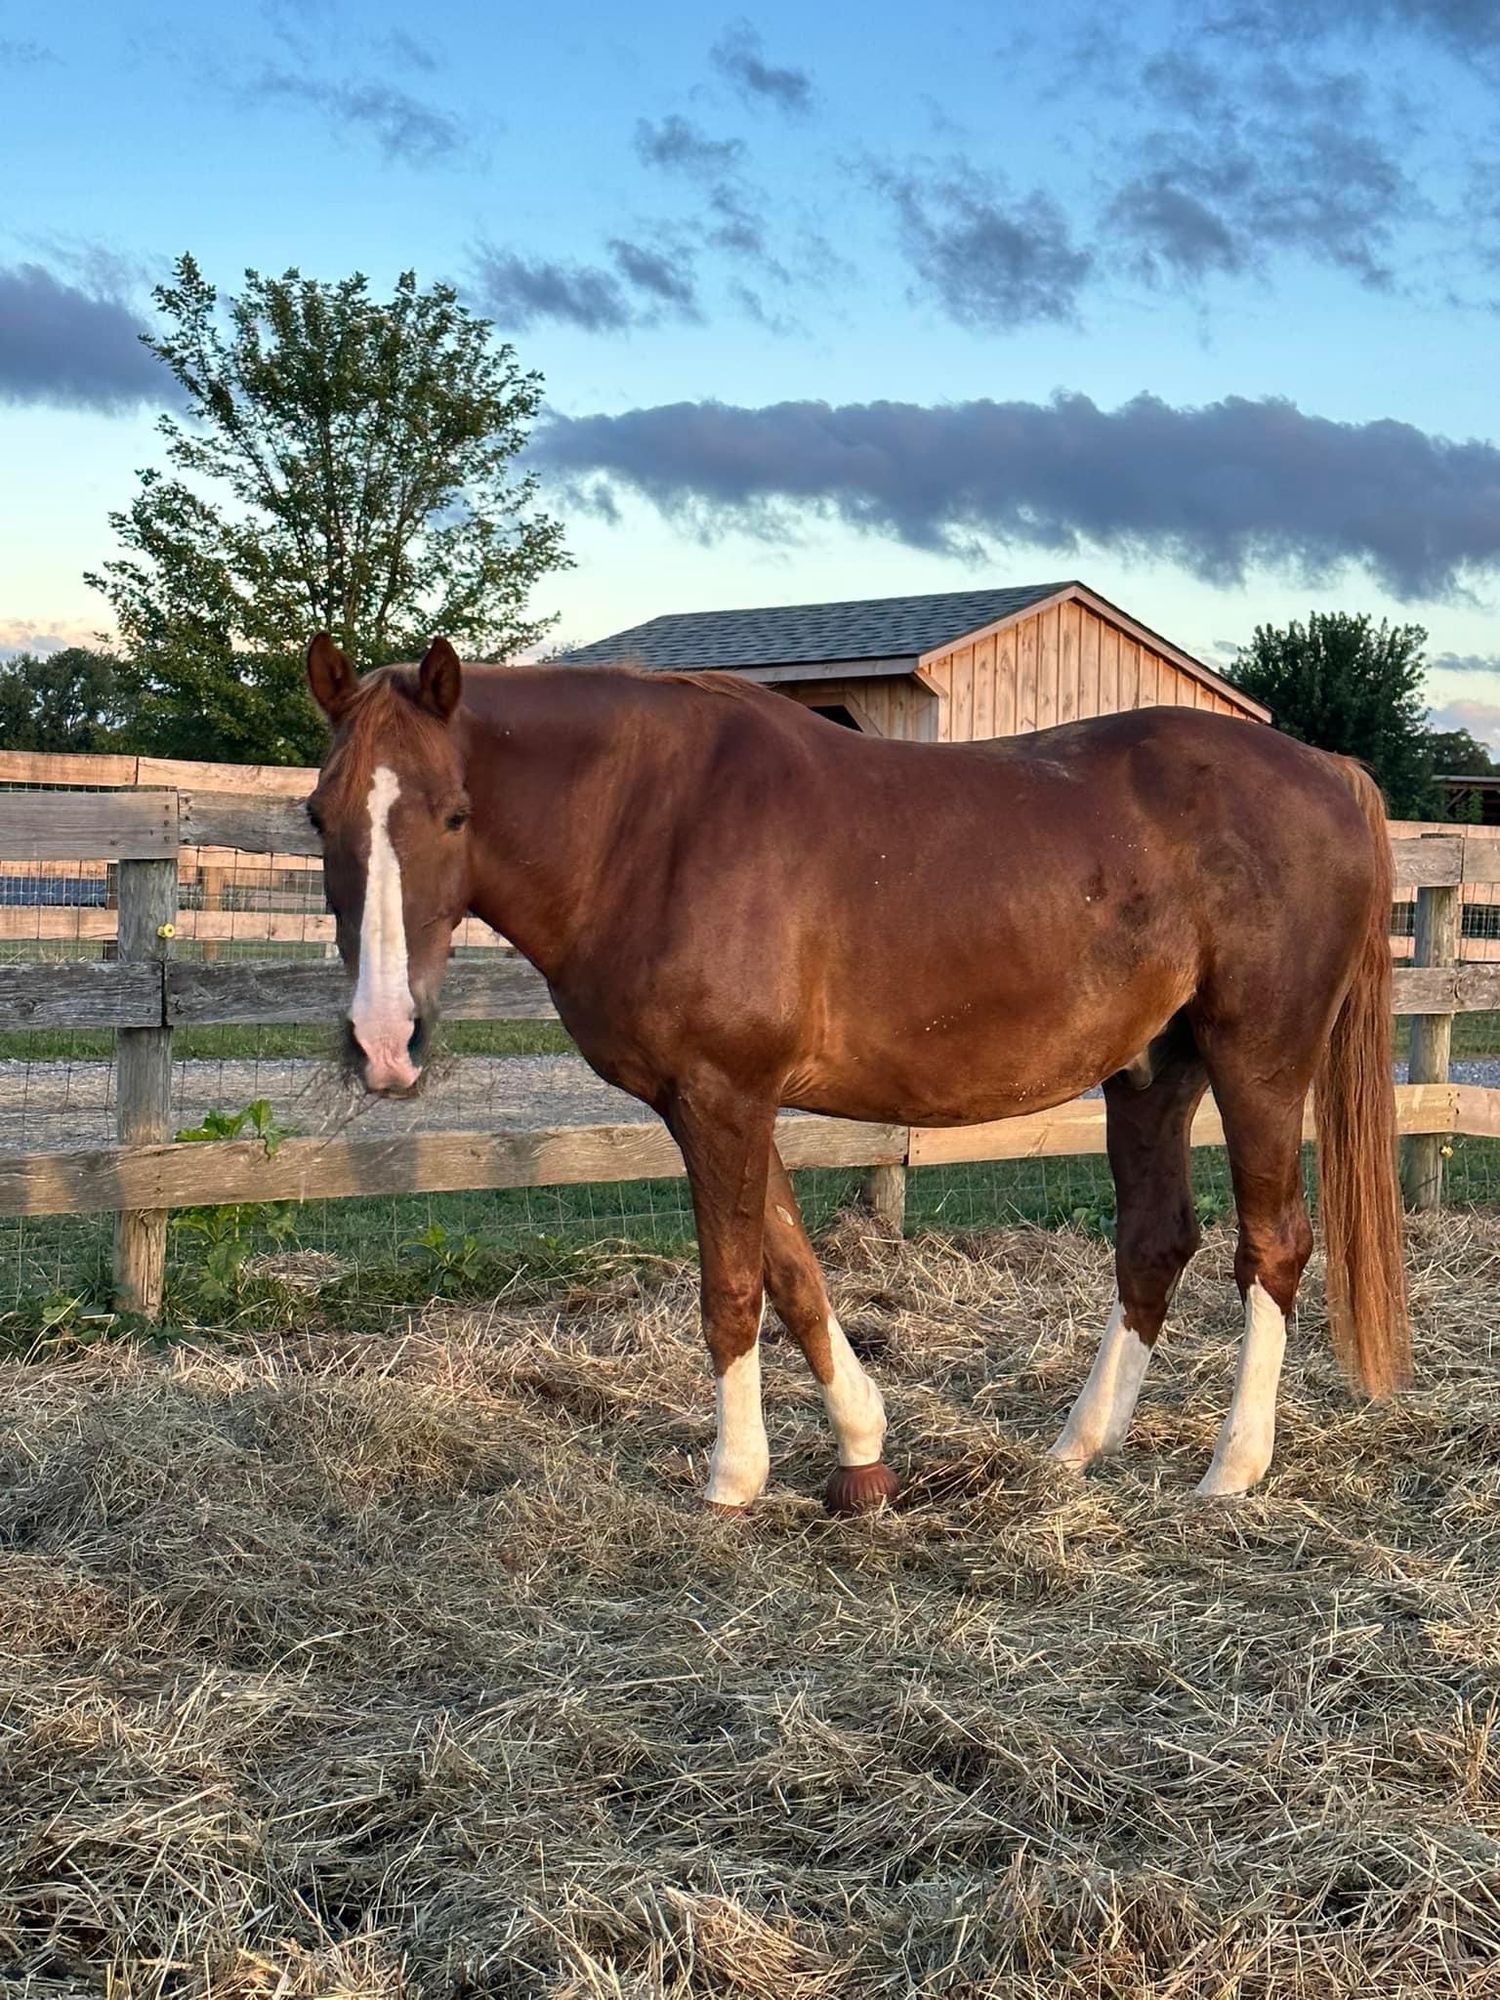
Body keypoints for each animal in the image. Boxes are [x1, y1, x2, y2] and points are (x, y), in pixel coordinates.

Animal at [306, 632, 1408, 1504]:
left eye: (455, 813)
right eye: (320, 815)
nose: (383, 1038)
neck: (651, 824)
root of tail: (1329, 771)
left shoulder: (722, 1097)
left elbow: (733, 1289)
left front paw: (734, 1480)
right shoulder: (713, 1104)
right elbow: (794, 1273)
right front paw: (863, 1452)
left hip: (1259, 1059)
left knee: (1274, 1243)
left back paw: (1233, 1467)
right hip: (1153, 1070)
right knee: (1154, 1241)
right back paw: (1077, 1448)